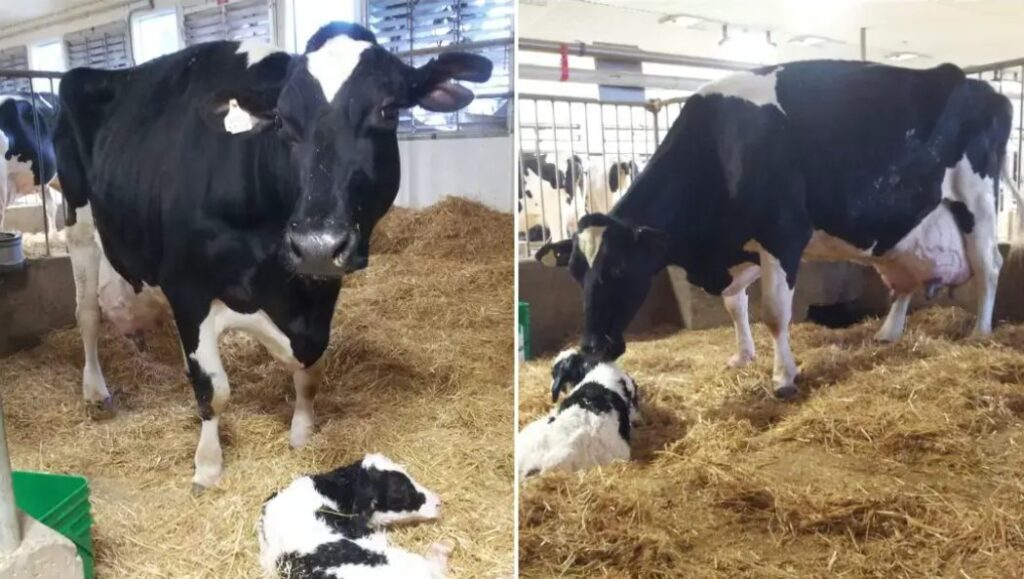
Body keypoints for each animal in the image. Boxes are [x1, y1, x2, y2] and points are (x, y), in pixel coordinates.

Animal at [55, 21, 491, 490]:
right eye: (281, 120)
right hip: (78, 227)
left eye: (389, 110)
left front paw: (301, 431)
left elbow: (311, 369)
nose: (317, 243)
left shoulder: (319, 294)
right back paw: (95, 390)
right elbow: (214, 390)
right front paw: (207, 466)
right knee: (87, 313)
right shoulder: (187, 287)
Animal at [536, 60, 1014, 399]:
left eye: (620, 269)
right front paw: (743, 356)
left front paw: (783, 375)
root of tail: (983, 87)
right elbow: (735, 305)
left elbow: (774, 311)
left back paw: (980, 332)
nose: (592, 346)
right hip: (904, 234)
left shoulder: (782, 234)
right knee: (906, 281)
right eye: (575, 272)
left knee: (990, 266)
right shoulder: (744, 247)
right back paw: (888, 332)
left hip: (977, 199)